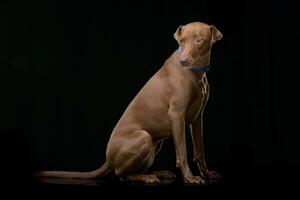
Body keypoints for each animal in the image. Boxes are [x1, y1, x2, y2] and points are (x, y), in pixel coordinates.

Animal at [36, 21, 223, 184]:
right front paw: (190, 178)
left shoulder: (197, 118)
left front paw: (206, 173)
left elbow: (199, 151)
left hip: (155, 143)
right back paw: (147, 177)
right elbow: (182, 153)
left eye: (199, 40)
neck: (197, 73)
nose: (183, 61)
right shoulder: (177, 116)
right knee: (121, 174)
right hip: (144, 137)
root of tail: (109, 160)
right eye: (182, 40)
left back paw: (158, 173)